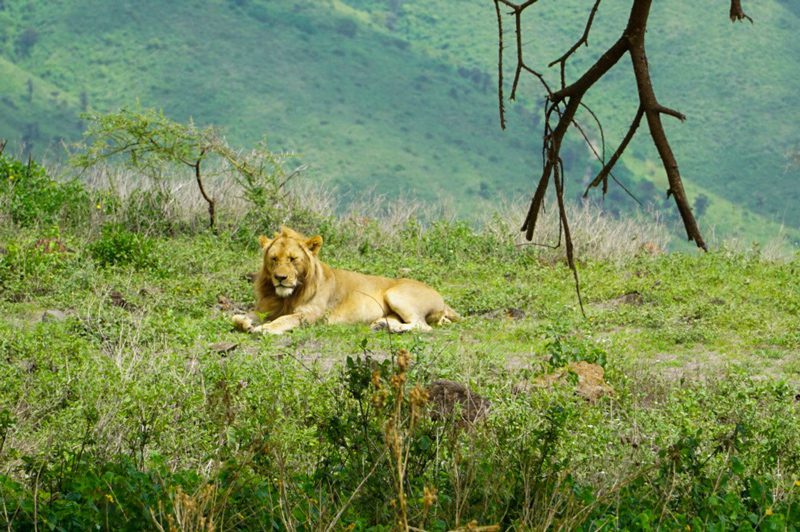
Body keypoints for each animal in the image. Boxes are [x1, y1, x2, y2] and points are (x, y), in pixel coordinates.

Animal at [231, 227, 460, 334]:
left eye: (293, 259)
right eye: (274, 259)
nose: (280, 278)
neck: (286, 296)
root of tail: (442, 299)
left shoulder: (311, 315)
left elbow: (285, 319)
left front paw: (264, 329)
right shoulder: (265, 309)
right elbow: (236, 317)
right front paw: (246, 323)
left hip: (395, 293)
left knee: (423, 326)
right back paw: (381, 325)